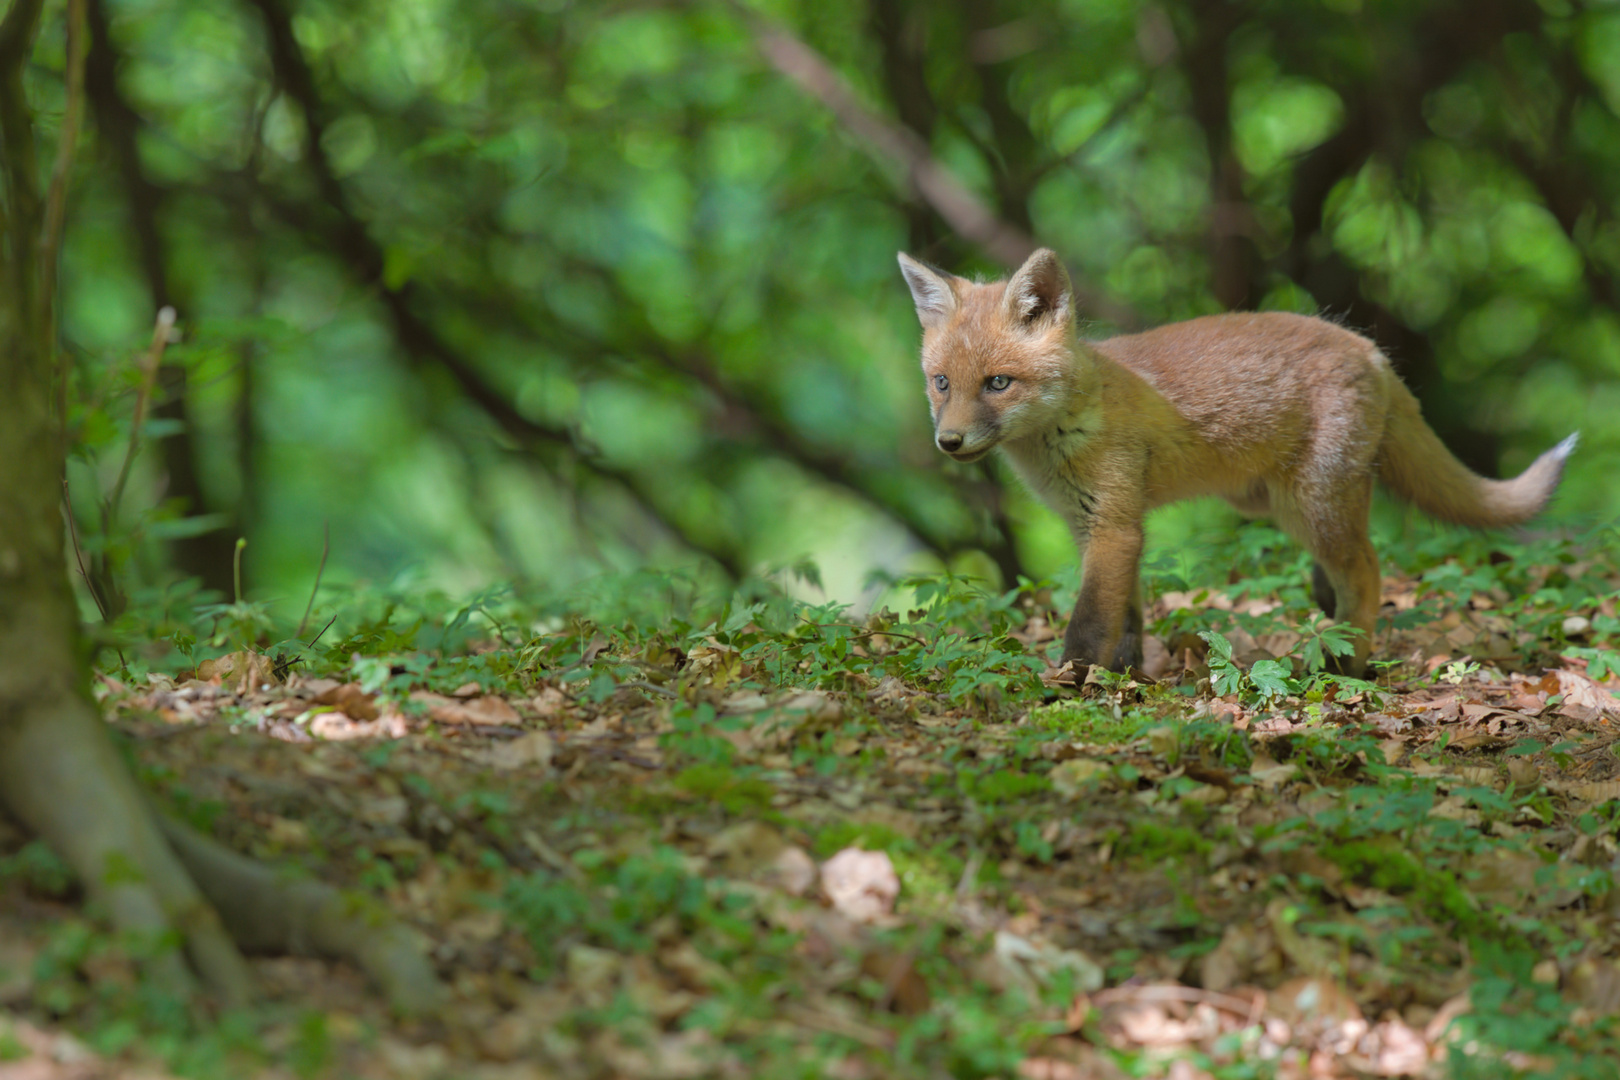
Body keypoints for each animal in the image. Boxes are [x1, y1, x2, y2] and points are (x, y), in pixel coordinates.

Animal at [894, 249, 1574, 680]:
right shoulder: (1104, 527)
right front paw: (1127, 678)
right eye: (941, 382)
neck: (1070, 423)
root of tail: (1370, 348)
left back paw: (1344, 667)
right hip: (1277, 504)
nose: (948, 442)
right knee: (1343, 572)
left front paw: (1070, 684)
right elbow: (1127, 617)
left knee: (1369, 574)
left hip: (1312, 507)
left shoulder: (1112, 524)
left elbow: (1088, 623)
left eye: (998, 383)